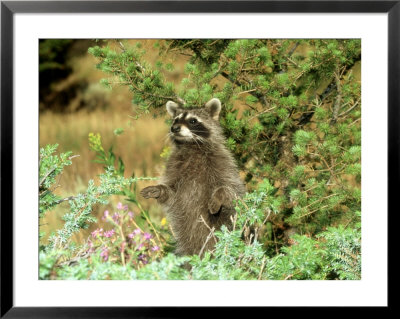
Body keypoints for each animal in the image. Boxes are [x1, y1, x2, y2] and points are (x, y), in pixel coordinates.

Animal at [141, 99, 247, 256]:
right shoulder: (174, 166)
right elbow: (171, 193)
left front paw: (219, 196)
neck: (191, 145)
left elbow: (230, 189)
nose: (174, 128)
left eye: (192, 121)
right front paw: (159, 190)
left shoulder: (222, 161)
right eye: (176, 120)